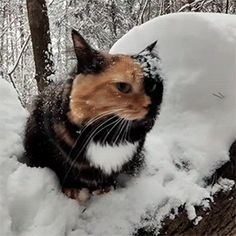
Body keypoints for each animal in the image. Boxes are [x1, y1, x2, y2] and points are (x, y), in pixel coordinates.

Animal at [24, 28, 164, 200]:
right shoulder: (52, 152)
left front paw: (105, 187)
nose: (152, 106)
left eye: (152, 87)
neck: (108, 136)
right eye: (123, 87)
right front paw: (72, 189)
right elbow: (65, 170)